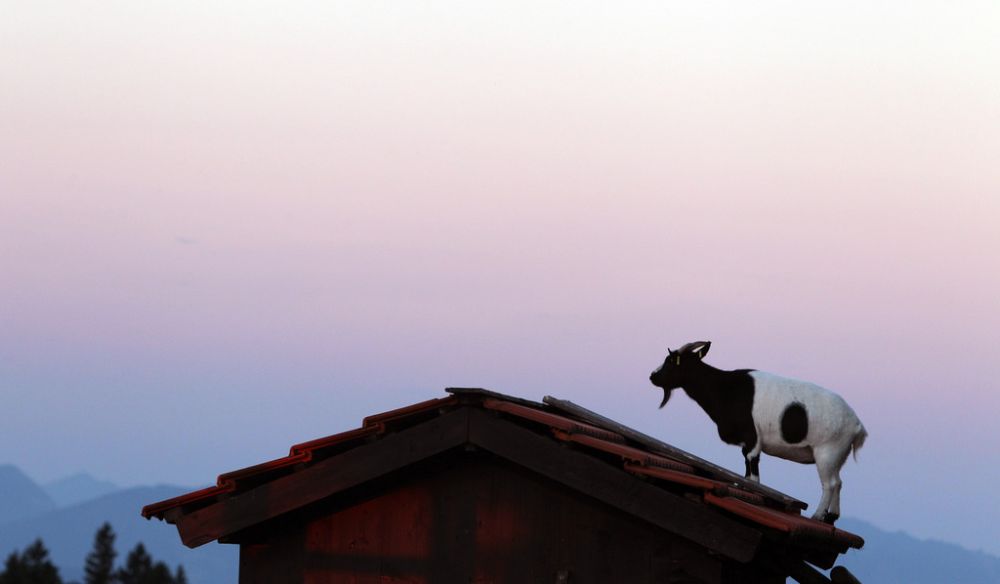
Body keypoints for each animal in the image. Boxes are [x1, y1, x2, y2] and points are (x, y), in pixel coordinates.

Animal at [648, 340, 868, 524]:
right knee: (839, 482)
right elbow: (746, 475)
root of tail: (857, 426)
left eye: (671, 360)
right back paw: (831, 517)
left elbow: (753, 475)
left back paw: (817, 516)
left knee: (830, 484)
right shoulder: (747, 445)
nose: (652, 376)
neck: (725, 389)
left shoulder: (752, 440)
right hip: (838, 455)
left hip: (827, 451)